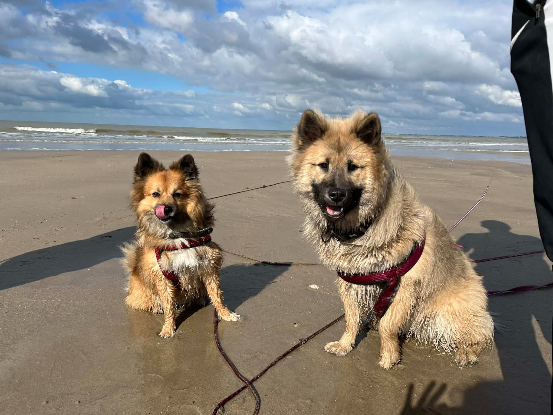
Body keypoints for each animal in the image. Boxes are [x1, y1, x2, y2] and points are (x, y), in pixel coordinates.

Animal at [123, 152, 239, 338]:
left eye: (177, 194)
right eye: (155, 194)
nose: (166, 208)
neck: (177, 235)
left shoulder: (208, 267)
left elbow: (217, 295)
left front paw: (225, 314)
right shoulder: (162, 276)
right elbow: (168, 305)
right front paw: (168, 328)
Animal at [289, 110, 493, 368]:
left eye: (353, 167)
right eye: (323, 165)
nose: (336, 195)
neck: (364, 226)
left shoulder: (406, 285)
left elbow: (388, 324)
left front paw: (389, 356)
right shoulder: (350, 282)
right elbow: (351, 318)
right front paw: (345, 345)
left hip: (453, 311)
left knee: (479, 335)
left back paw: (467, 352)